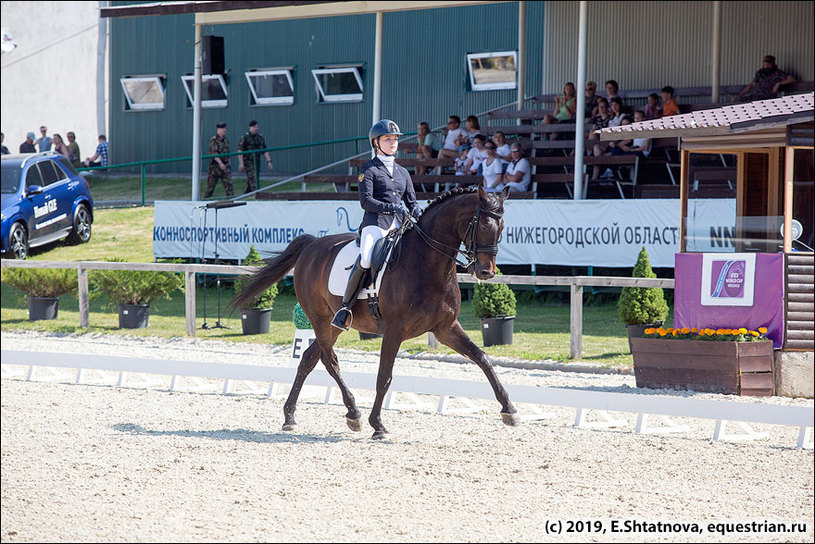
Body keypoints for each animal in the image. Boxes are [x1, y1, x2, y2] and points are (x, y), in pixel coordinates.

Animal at [233, 185, 520, 440]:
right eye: (484, 225)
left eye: (502, 228)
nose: (485, 272)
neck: (426, 264)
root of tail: (312, 245)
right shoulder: (394, 331)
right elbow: (384, 376)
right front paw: (378, 425)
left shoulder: (445, 328)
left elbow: (482, 358)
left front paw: (509, 410)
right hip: (321, 320)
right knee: (329, 360)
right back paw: (353, 414)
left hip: (332, 325)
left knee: (308, 359)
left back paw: (290, 416)